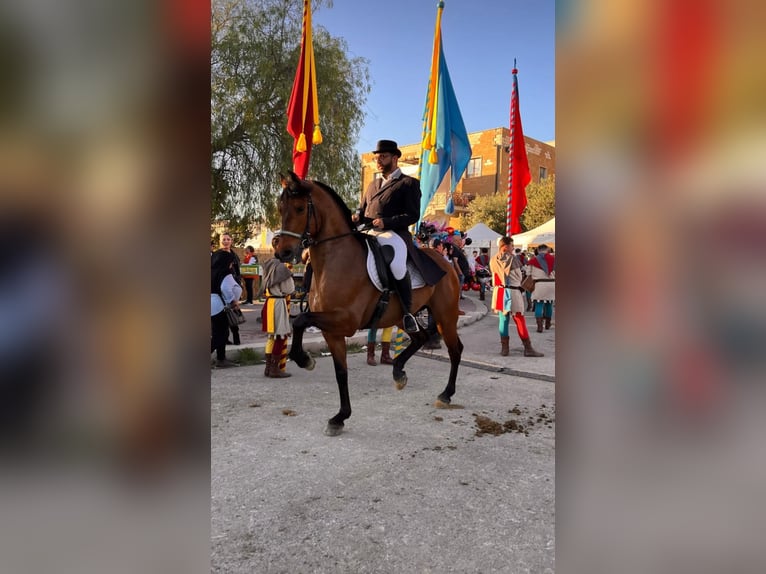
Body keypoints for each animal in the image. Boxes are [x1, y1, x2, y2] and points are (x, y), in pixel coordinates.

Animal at [273, 171, 464, 436]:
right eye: (281, 207)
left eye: (300, 208)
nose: (282, 252)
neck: (336, 260)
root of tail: (445, 261)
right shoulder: (332, 330)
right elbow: (340, 372)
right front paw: (340, 417)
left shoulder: (346, 321)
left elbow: (301, 319)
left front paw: (304, 360)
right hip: (402, 317)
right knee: (421, 337)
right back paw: (398, 372)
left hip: (445, 316)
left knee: (455, 350)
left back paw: (446, 394)